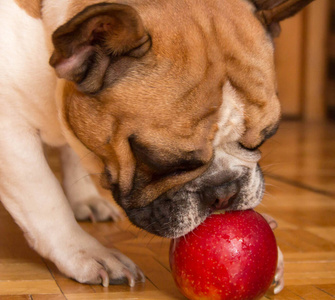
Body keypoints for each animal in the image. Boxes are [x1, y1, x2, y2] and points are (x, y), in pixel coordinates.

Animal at [0, 0, 312, 292]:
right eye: (161, 161)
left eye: (263, 139)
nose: (224, 191)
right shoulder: (11, 132)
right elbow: (44, 197)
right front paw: (86, 252)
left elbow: (71, 152)